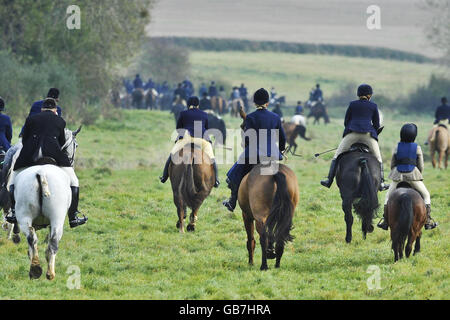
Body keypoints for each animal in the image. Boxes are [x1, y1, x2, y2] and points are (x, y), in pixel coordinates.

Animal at [9, 127, 80, 280]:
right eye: (76, 145)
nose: (71, 161)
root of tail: (41, 172)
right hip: (57, 219)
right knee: (53, 243)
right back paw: (49, 273)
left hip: (24, 216)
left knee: (32, 239)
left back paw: (35, 269)